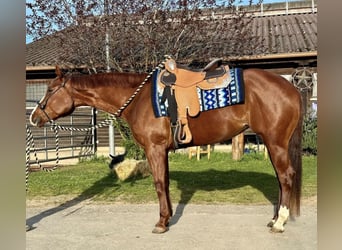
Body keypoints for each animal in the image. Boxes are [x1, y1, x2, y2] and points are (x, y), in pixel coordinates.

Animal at [29, 64, 302, 232]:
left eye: (50, 89)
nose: (34, 117)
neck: (138, 98)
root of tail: (291, 88)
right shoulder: (162, 151)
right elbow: (166, 182)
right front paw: (168, 217)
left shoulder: (155, 149)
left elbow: (159, 183)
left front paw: (161, 223)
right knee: (281, 179)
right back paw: (274, 219)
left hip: (275, 143)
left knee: (286, 177)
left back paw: (280, 223)